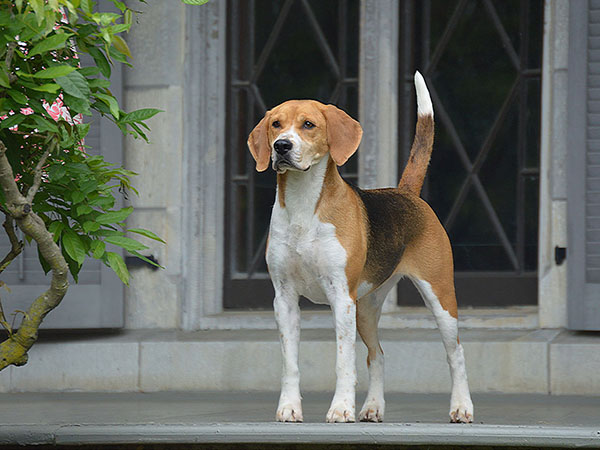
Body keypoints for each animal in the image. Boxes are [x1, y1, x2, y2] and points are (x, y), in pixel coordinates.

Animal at [247, 72, 474, 424]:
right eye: (275, 124)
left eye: (308, 125)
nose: (281, 146)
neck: (303, 205)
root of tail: (405, 192)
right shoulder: (283, 299)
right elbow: (290, 363)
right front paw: (289, 408)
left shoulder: (341, 297)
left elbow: (344, 361)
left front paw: (341, 408)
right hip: (366, 308)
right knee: (377, 355)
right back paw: (372, 407)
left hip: (439, 296)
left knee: (456, 353)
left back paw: (461, 407)